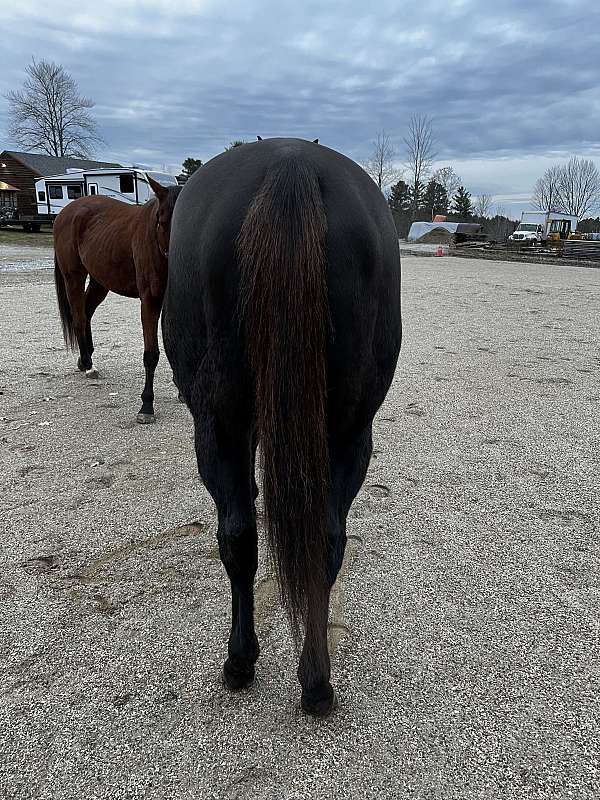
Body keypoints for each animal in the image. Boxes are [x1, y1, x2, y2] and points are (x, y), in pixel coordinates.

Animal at [53, 176, 181, 423]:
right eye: (161, 220)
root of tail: (66, 212)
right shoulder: (149, 301)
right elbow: (151, 354)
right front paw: (146, 405)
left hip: (99, 281)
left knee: (86, 312)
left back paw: (84, 359)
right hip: (73, 277)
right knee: (79, 317)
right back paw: (88, 365)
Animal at [162, 138, 402, 716]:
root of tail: (291, 164)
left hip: (219, 425)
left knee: (238, 536)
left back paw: (241, 661)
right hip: (347, 433)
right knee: (326, 539)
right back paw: (316, 679)